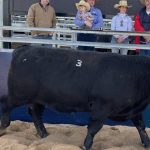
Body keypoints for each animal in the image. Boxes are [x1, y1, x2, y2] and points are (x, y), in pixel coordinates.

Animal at [0, 45, 150, 150]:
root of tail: (24, 49)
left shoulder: (134, 110)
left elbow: (141, 127)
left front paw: (147, 143)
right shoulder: (101, 108)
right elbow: (93, 128)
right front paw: (85, 146)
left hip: (36, 99)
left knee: (35, 113)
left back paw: (44, 135)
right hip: (19, 94)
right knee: (6, 106)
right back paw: (3, 126)